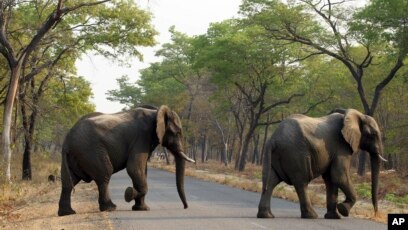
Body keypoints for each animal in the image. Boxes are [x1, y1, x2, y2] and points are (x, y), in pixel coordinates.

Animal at [57, 105, 196, 217]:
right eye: (177, 132)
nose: (185, 207)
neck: (156, 112)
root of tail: (67, 141)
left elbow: (141, 171)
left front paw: (141, 208)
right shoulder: (141, 138)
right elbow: (134, 169)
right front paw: (129, 194)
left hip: (76, 155)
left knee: (69, 181)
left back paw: (67, 213)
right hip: (91, 151)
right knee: (104, 175)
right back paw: (110, 208)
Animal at [256, 108, 388, 218]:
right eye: (373, 134)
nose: (376, 213)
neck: (356, 115)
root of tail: (273, 139)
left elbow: (331, 179)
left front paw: (334, 217)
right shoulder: (341, 147)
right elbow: (339, 176)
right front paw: (343, 210)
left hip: (279, 155)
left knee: (271, 180)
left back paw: (266, 215)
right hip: (295, 154)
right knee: (301, 182)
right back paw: (312, 216)